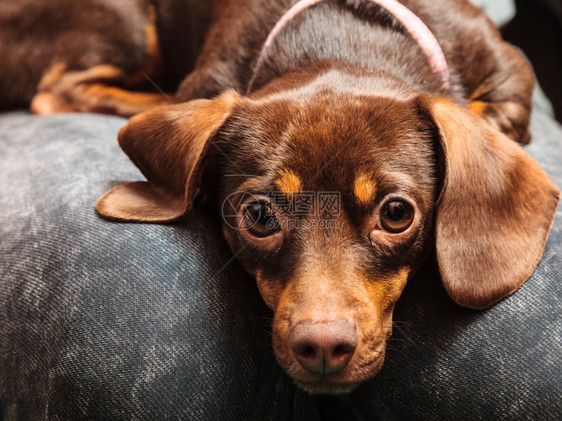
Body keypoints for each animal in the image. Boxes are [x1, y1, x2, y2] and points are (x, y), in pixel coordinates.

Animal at [3, 0, 556, 394]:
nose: (323, 347)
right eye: (259, 216)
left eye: (397, 214)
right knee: (57, 90)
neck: (345, 37)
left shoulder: (511, 78)